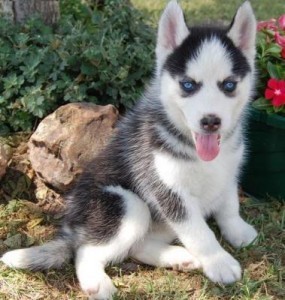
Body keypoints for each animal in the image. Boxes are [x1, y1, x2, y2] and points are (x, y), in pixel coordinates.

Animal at [0, 1, 258, 298]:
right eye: (188, 85)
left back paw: (179, 257)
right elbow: (199, 232)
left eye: (229, 85)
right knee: (85, 250)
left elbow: (228, 205)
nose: (211, 121)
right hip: (128, 204)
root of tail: (73, 222)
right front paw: (219, 262)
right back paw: (96, 282)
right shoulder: (168, 189)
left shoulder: (228, 171)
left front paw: (238, 231)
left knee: (137, 247)